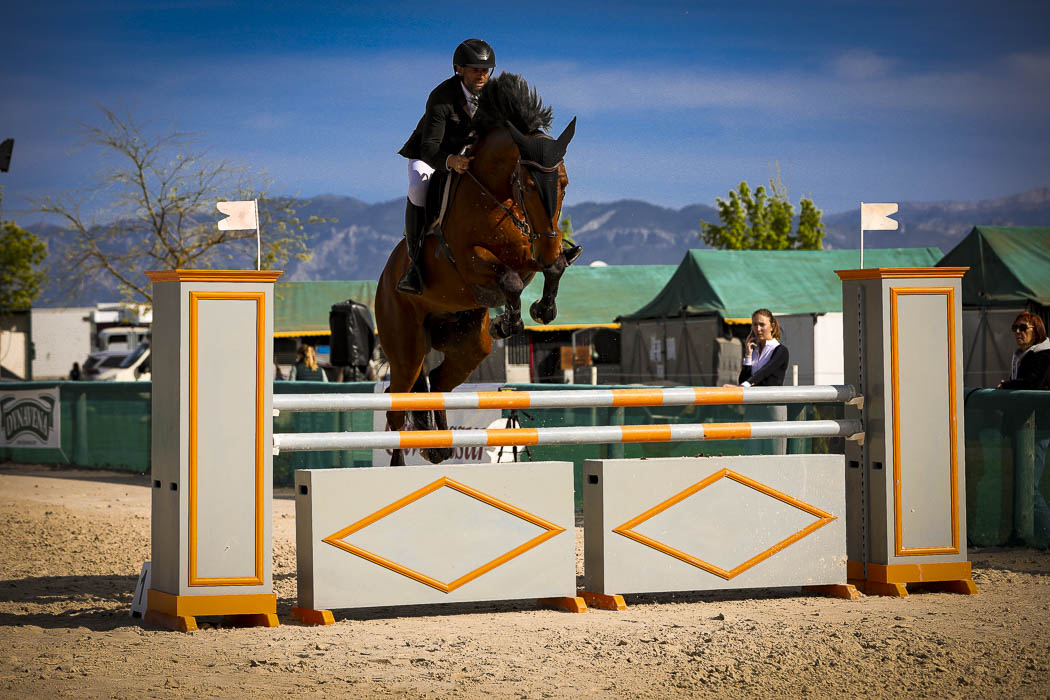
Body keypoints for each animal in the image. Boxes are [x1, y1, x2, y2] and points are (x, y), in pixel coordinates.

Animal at [375, 73, 579, 465]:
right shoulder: (468, 262)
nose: (548, 246)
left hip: (469, 344)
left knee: (437, 382)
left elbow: (553, 268)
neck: (495, 193)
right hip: (405, 347)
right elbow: (509, 280)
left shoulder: (529, 253)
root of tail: (382, 281)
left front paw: (541, 310)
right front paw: (509, 322)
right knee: (397, 404)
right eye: (528, 184)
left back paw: (438, 447)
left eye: (563, 182)